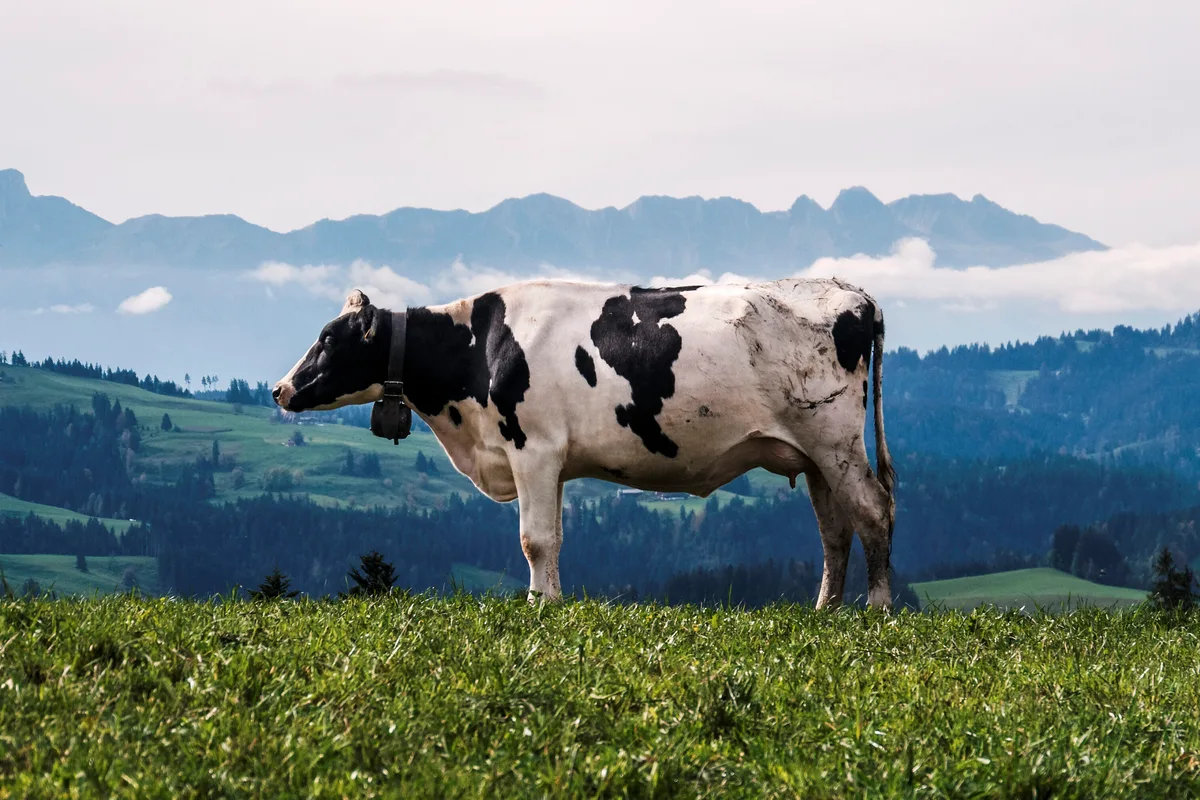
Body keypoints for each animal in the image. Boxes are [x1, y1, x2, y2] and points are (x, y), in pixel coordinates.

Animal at [273, 278, 897, 609]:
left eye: (328, 338)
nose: (280, 389)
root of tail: (852, 293)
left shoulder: (533, 448)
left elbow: (535, 539)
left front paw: (540, 605)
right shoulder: (551, 460)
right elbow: (554, 539)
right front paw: (548, 601)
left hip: (837, 442)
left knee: (873, 511)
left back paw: (878, 607)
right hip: (813, 456)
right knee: (834, 530)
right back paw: (824, 610)